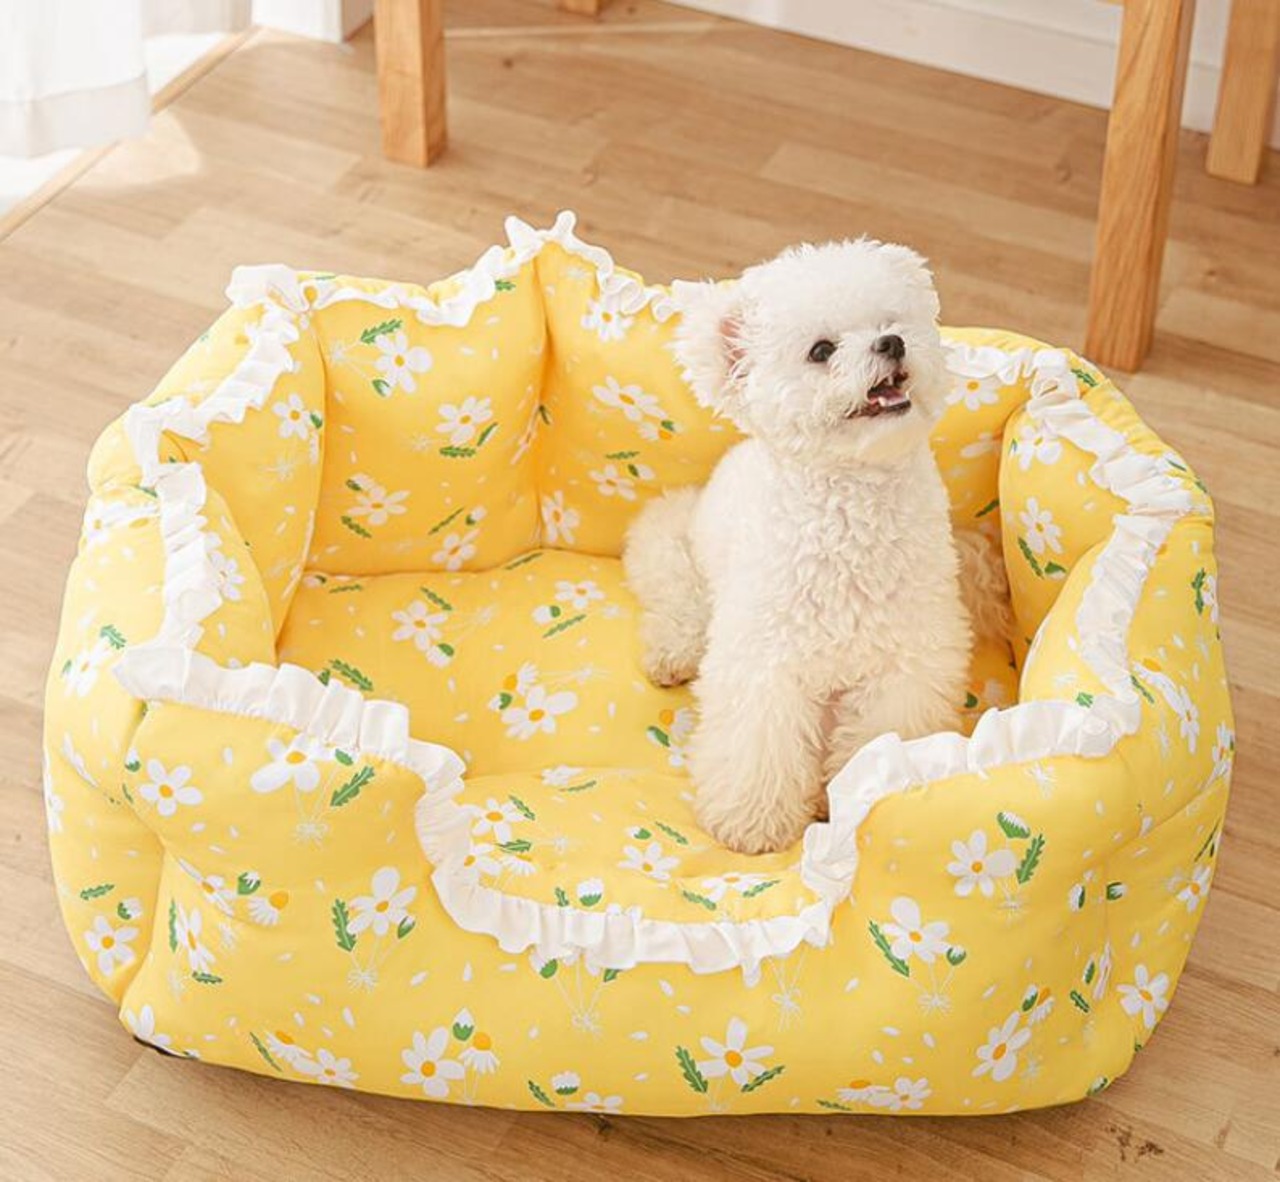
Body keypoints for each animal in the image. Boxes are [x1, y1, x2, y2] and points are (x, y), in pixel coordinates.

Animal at [623, 239, 1008, 854]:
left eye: (890, 322)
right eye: (821, 350)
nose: (892, 344)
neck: (852, 508)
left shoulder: (906, 664)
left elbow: (878, 736)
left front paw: (852, 797)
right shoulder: (764, 664)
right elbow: (758, 747)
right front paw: (752, 824)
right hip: (673, 544)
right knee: (680, 599)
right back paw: (673, 652)